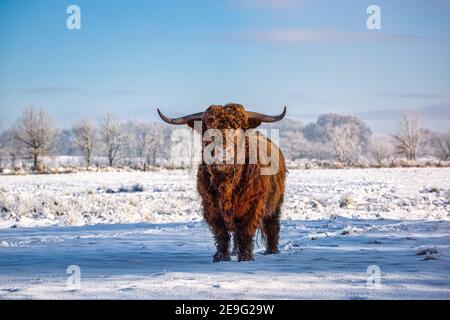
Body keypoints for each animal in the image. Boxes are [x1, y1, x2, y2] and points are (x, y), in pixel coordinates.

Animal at [157, 104, 284, 262]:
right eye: (208, 129)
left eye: (237, 129)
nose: (222, 153)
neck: (226, 183)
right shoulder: (210, 207)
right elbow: (221, 233)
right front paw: (221, 257)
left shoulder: (253, 204)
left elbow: (245, 231)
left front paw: (246, 257)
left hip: (275, 204)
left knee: (272, 226)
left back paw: (272, 251)